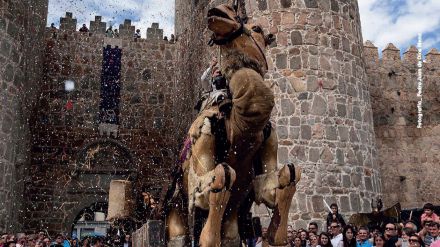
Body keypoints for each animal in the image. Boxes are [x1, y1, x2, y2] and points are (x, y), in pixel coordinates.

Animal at [166, 3, 302, 247]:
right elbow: (223, 175)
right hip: (176, 209)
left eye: (257, 28)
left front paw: (276, 235)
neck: (238, 129)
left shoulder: (270, 140)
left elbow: (287, 174)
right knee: (179, 234)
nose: (219, 11)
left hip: (230, 223)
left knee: (230, 234)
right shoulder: (204, 139)